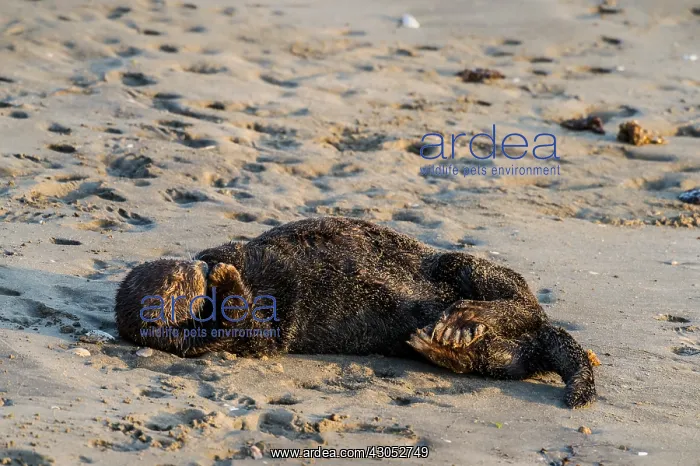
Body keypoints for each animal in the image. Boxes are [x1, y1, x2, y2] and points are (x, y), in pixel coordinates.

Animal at [115, 217, 596, 408]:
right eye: (177, 286)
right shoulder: (235, 339)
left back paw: (461, 320)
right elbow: (250, 329)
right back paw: (446, 343)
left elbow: (231, 255)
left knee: (520, 299)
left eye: (182, 273)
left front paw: (222, 267)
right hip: (508, 352)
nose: (198, 268)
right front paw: (227, 280)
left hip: (457, 267)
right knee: (510, 351)